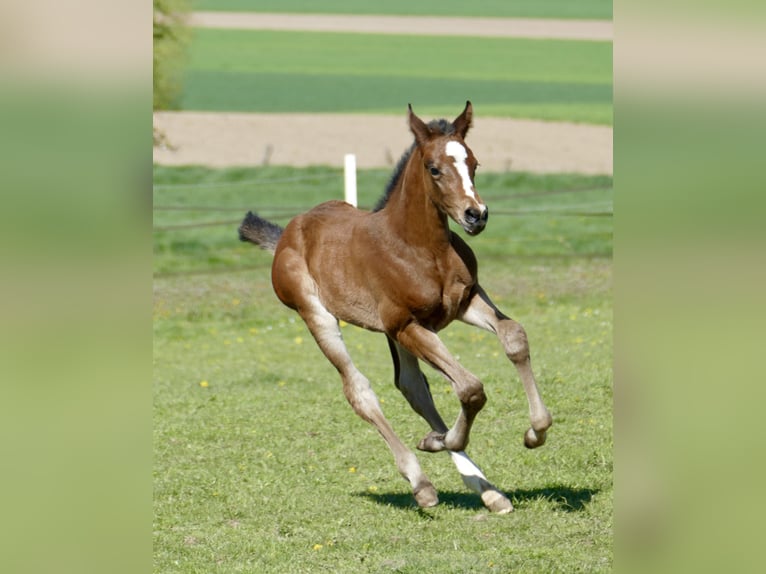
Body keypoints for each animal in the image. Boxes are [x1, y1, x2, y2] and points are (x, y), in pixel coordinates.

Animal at [238, 101, 552, 513]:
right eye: (434, 168)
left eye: (474, 163)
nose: (476, 215)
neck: (422, 248)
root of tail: (289, 232)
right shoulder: (407, 323)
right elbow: (470, 387)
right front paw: (439, 441)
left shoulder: (464, 302)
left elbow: (514, 337)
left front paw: (535, 432)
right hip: (319, 316)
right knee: (360, 390)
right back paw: (422, 481)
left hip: (395, 332)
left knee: (412, 387)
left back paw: (486, 489)